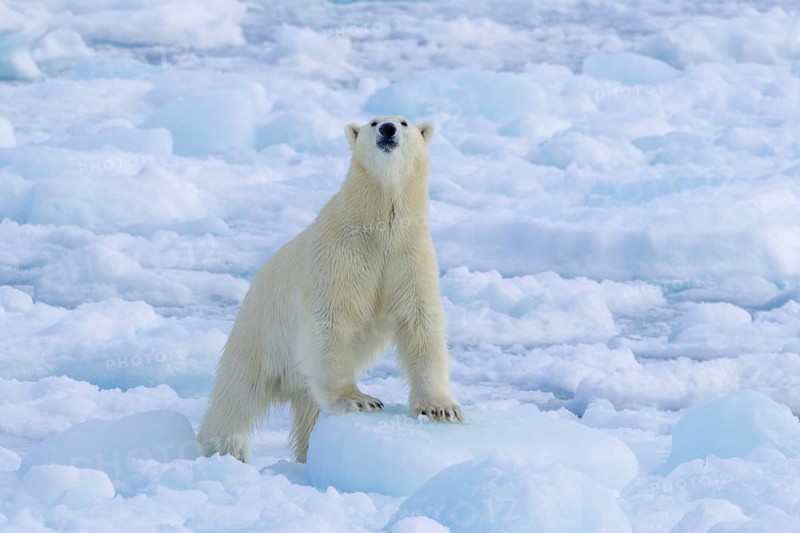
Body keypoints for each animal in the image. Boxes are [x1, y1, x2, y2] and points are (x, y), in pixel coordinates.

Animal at [197, 115, 463, 463]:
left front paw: (441, 409)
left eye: (404, 122)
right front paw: (360, 400)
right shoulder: (340, 253)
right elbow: (334, 320)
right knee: (239, 390)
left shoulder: (409, 255)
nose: (388, 129)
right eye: (373, 121)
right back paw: (227, 446)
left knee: (306, 410)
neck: (378, 225)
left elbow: (420, 321)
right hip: (260, 333)